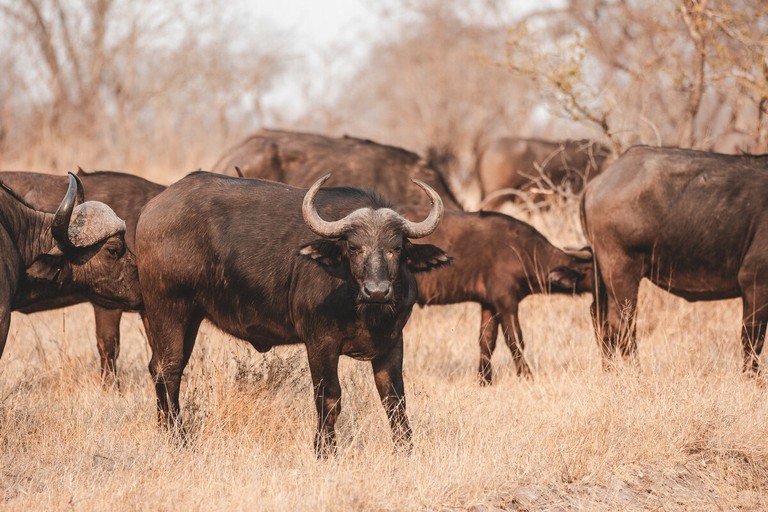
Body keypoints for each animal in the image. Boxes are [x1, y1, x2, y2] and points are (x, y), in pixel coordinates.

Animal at [135, 172, 449, 456]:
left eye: (396, 248)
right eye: (353, 247)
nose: (377, 291)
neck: (364, 310)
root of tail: (150, 212)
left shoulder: (392, 342)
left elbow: (394, 400)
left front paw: (405, 449)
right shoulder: (320, 342)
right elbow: (329, 396)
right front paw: (325, 450)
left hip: (184, 318)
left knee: (158, 367)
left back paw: (165, 430)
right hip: (169, 309)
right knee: (170, 369)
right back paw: (180, 439)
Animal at [399, 207, 593, 384]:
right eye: (593, 267)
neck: (522, 250)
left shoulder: (489, 305)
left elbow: (487, 341)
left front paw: (484, 380)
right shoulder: (506, 302)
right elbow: (515, 339)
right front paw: (526, 375)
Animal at [582, 146, 768, 371]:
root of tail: (595, 184)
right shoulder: (755, 282)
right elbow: (753, 340)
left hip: (602, 274)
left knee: (602, 321)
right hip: (620, 270)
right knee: (622, 325)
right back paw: (636, 373)